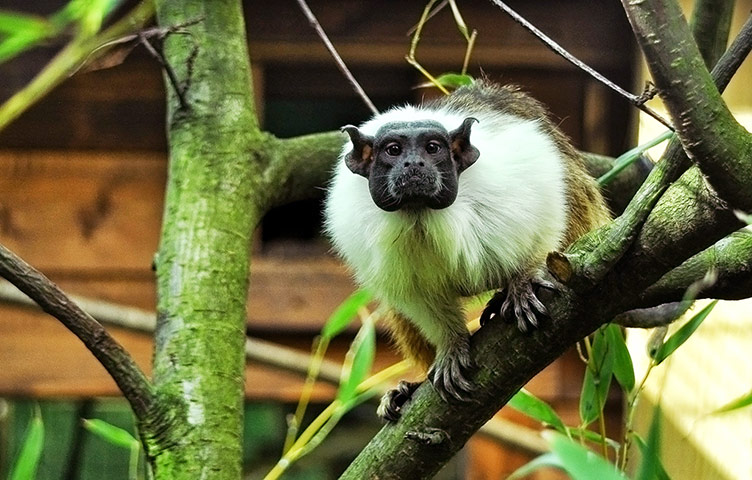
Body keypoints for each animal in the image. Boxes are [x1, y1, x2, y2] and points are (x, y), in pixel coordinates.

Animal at [324, 80, 612, 422]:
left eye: (432, 148)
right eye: (393, 150)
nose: (414, 165)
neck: (421, 216)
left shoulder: (513, 178)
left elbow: (546, 207)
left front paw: (524, 280)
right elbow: (418, 300)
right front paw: (451, 344)